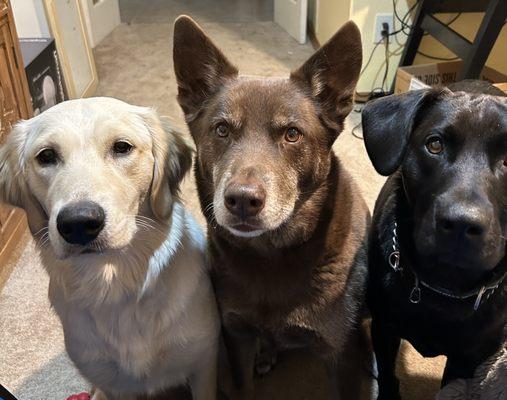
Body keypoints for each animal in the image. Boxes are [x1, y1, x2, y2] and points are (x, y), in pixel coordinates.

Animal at [174, 16, 370, 400]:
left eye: (292, 134)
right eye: (221, 129)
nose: (242, 200)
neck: (272, 255)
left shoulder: (341, 354)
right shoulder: (235, 335)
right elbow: (242, 386)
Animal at [362, 82, 507, 400]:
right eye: (435, 145)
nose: (461, 223)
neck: (443, 287)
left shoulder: (468, 361)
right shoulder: (384, 328)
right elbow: (389, 373)